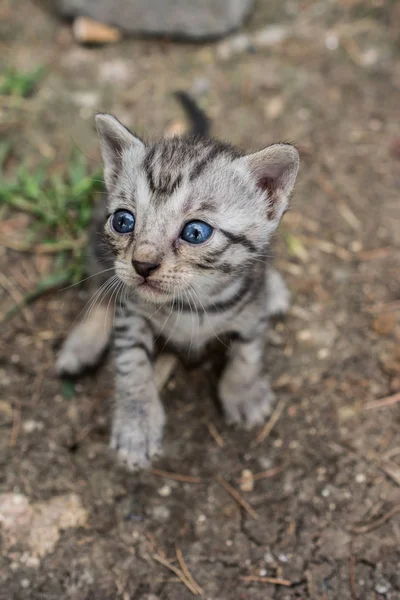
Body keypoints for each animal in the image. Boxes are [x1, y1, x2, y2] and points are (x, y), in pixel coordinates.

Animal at [57, 94, 298, 472]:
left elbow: (248, 349)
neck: (193, 303)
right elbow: (131, 363)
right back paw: (83, 343)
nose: (142, 264)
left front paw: (243, 391)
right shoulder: (131, 311)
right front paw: (137, 425)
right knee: (101, 291)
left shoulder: (249, 307)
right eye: (124, 221)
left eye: (195, 232)